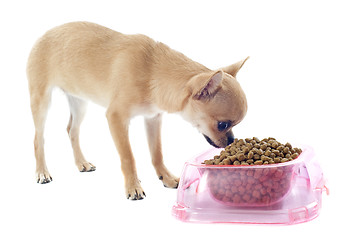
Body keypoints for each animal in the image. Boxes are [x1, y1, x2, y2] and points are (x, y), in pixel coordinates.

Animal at [26, 21, 249, 200]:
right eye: (222, 124)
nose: (231, 141)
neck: (152, 72)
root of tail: (45, 33)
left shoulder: (153, 118)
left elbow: (157, 152)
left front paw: (165, 176)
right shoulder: (116, 118)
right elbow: (128, 157)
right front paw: (133, 186)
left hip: (79, 102)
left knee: (72, 130)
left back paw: (81, 162)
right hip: (41, 101)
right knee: (38, 138)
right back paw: (42, 172)